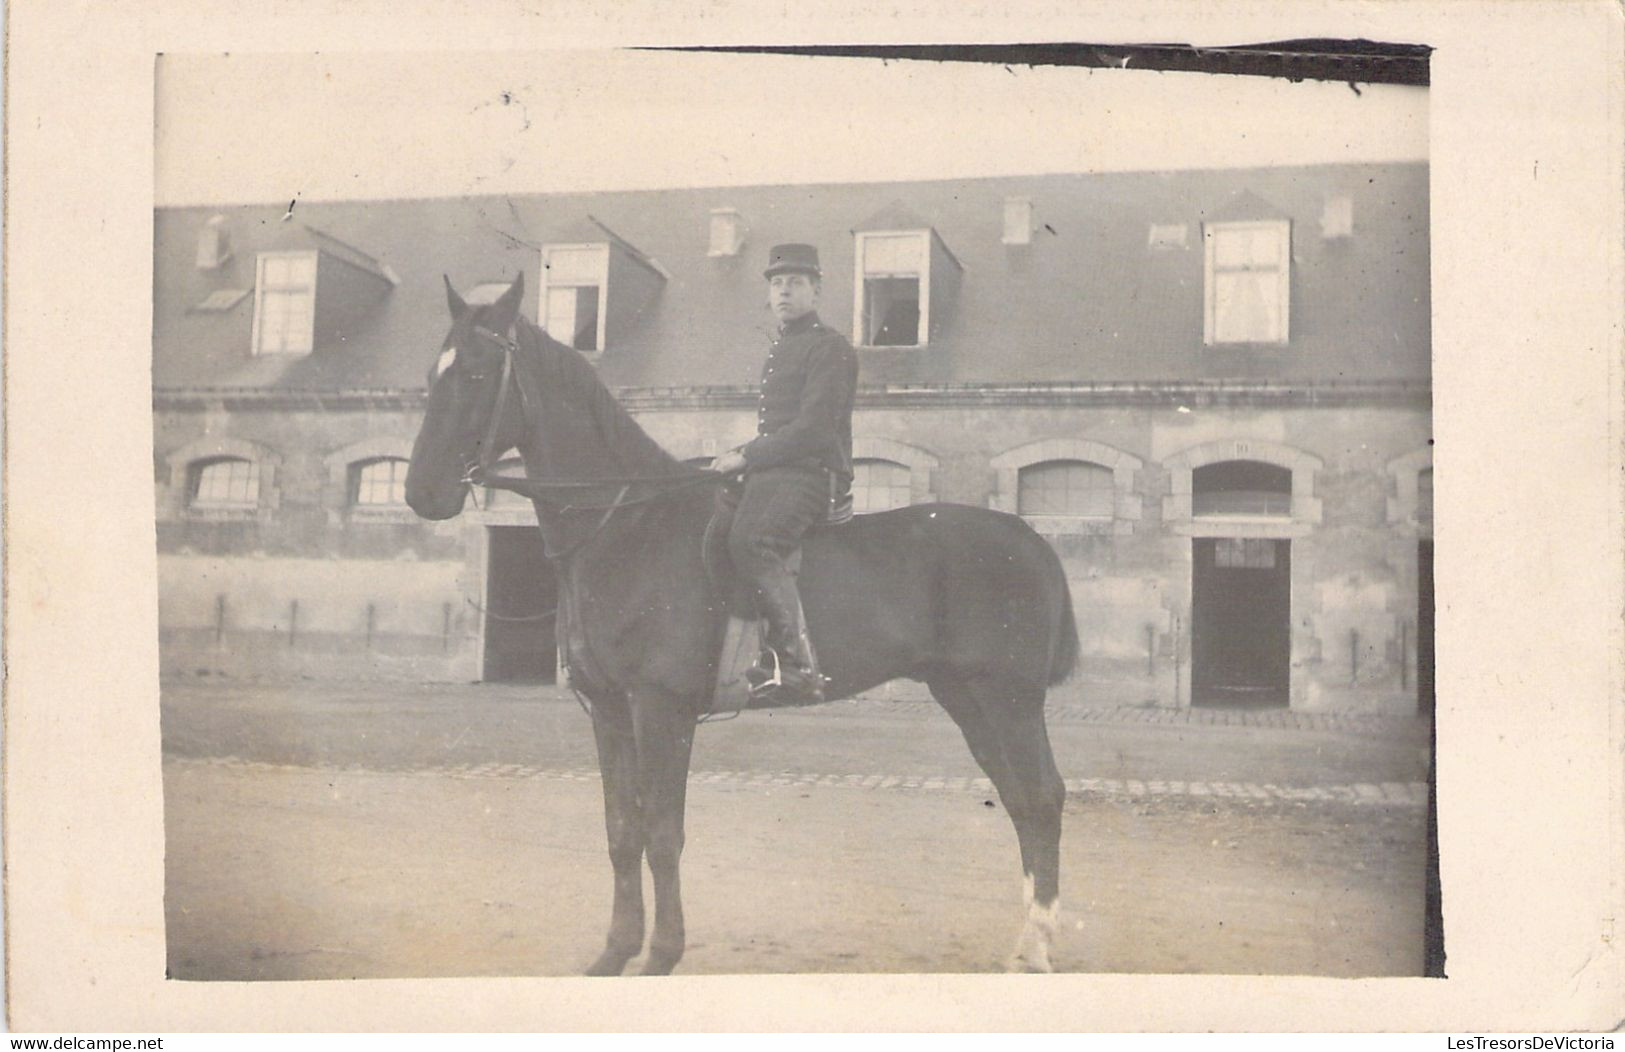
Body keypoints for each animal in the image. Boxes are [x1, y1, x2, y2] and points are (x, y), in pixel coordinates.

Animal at [409, 273, 1079, 982]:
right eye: (433, 372)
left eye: (478, 370)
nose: (421, 492)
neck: (624, 526)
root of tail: (1027, 537)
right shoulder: (609, 711)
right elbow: (621, 831)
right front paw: (615, 951)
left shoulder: (660, 709)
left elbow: (662, 834)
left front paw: (660, 955)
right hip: (966, 697)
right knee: (1018, 799)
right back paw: (1024, 943)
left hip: (1008, 698)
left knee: (1042, 797)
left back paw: (1037, 948)